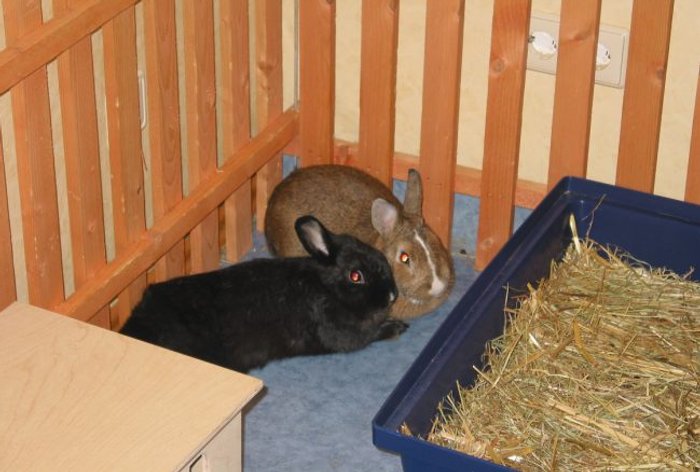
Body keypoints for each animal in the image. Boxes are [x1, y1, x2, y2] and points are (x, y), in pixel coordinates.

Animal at [120, 215, 406, 373]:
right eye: (356, 276)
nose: (392, 294)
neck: (327, 288)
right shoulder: (343, 334)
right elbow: (370, 335)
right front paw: (397, 328)